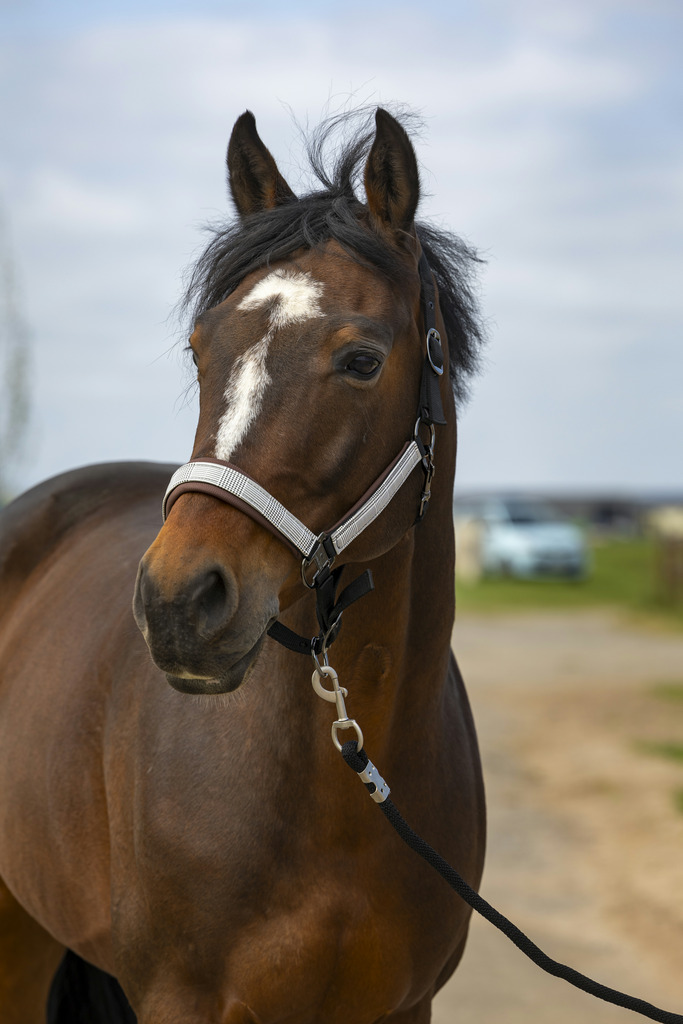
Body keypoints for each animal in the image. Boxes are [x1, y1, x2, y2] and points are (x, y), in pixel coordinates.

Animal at [0, 107, 486, 1023]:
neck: (345, 799)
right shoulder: (181, 1001)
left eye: (361, 360)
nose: (177, 603)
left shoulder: (404, 1006)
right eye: (200, 350)